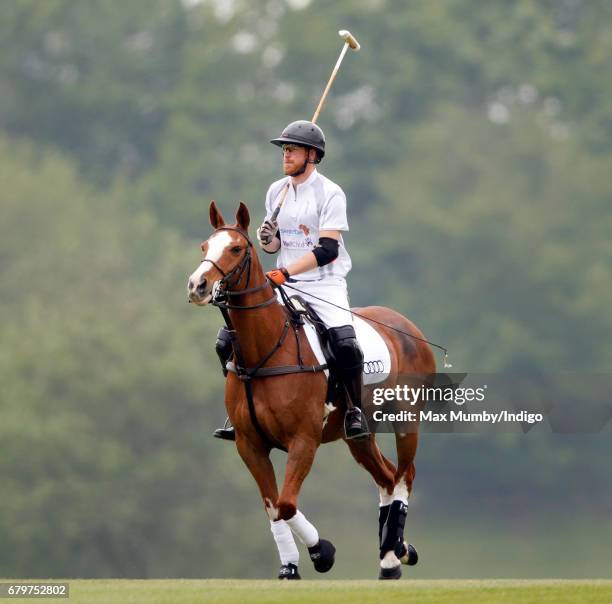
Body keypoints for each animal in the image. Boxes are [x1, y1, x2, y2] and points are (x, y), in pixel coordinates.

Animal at [186, 203, 436, 580]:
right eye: (205, 246)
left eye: (237, 249)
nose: (197, 285)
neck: (264, 352)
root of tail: (407, 327)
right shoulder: (249, 444)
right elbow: (273, 507)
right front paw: (290, 567)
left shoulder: (303, 439)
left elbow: (287, 504)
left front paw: (323, 553)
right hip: (357, 435)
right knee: (388, 477)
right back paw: (394, 551)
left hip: (407, 420)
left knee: (405, 474)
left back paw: (395, 556)